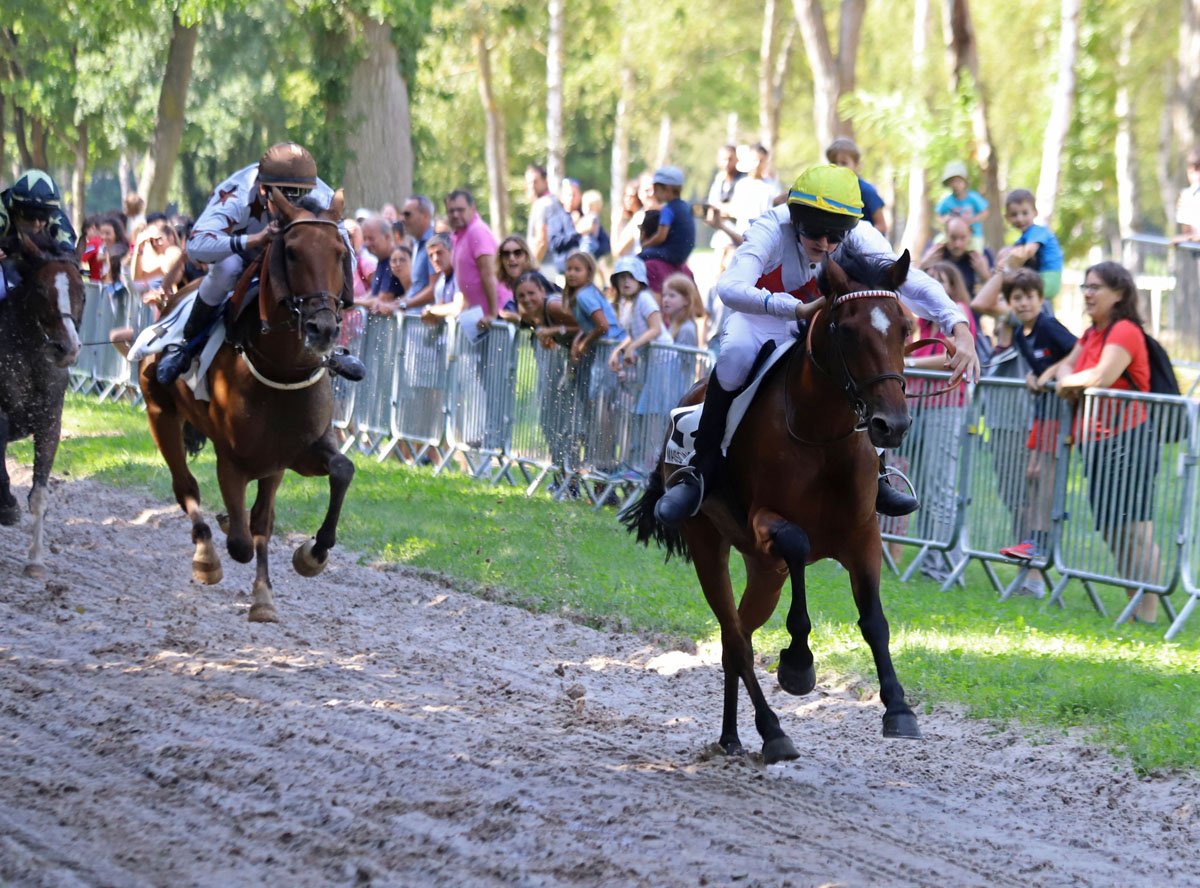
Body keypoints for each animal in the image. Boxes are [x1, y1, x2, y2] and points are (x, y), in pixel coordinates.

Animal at [139, 188, 355, 623]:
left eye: (340, 251)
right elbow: (241, 540)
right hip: (160, 414)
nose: (323, 328)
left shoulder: (292, 454)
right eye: (292, 252)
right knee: (185, 487)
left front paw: (307, 559)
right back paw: (206, 554)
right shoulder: (233, 460)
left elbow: (339, 471)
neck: (280, 369)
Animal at [624, 249, 931, 763]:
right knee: (734, 636)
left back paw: (734, 735)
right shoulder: (766, 523)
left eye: (905, 328)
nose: (893, 424)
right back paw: (770, 729)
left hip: (763, 572)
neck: (823, 438)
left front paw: (898, 708)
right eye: (847, 330)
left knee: (738, 635)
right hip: (709, 545)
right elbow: (799, 544)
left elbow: (874, 621)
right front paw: (798, 663)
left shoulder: (864, 535)